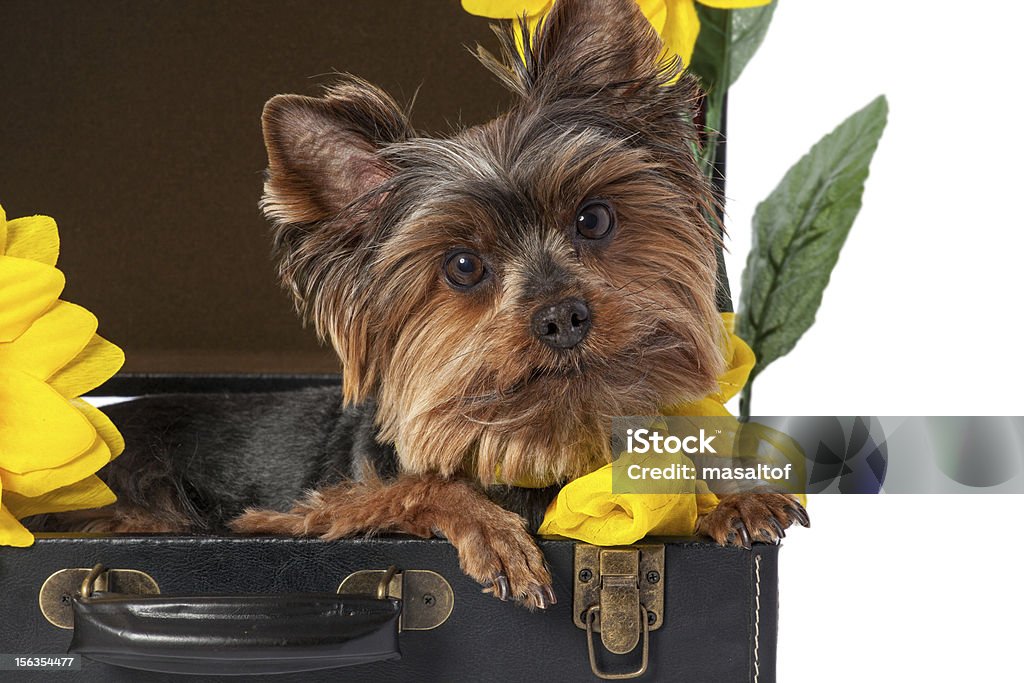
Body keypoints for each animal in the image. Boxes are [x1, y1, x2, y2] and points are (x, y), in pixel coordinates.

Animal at [34, 0, 806, 610]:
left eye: (594, 220)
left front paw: (729, 496)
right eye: (462, 266)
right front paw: (494, 531)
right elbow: (415, 487)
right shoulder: (298, 514)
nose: (562, 316)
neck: (540, 446)